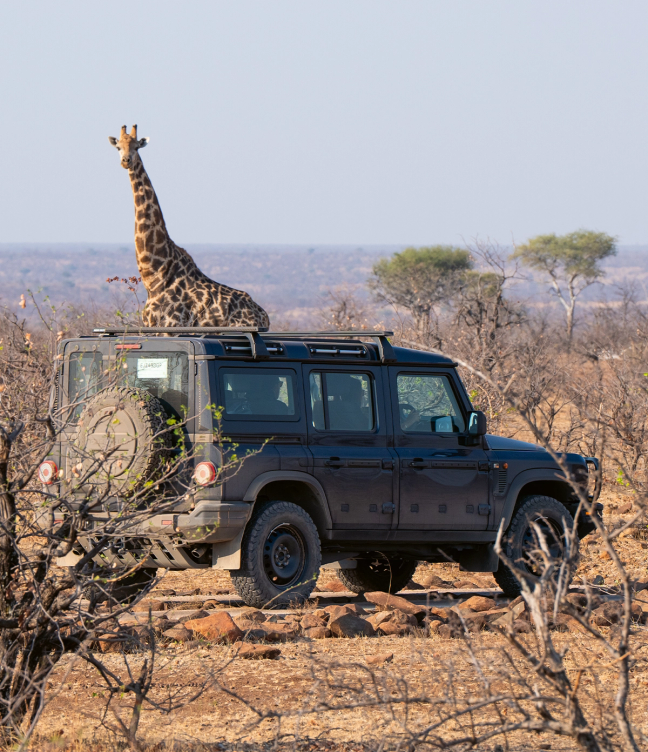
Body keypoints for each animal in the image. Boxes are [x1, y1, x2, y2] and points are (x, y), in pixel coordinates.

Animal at [108, 125, 270, 329]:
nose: (126, 161)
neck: (155, 276)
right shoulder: (151, 325)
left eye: (136, 147)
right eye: (118, 147)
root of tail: (264, 316)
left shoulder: (171, 325)